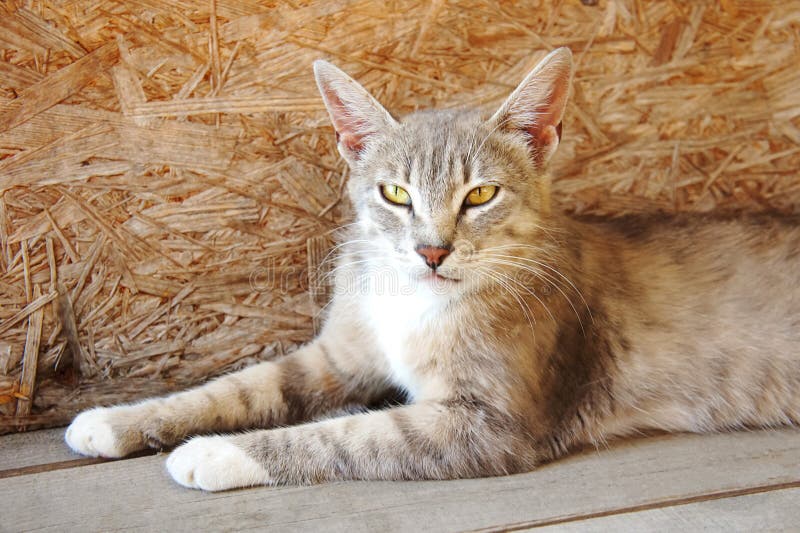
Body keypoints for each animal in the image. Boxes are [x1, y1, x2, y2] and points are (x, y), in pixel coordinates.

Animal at [64, 48, 800, 490]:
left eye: (480, 195)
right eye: (395, 193)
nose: (432, 250)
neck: (412, 300)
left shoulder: (490, 423)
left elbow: (346, 434)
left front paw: (218, 453)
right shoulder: (337, 353)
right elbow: (234, 387)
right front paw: (116, 420)